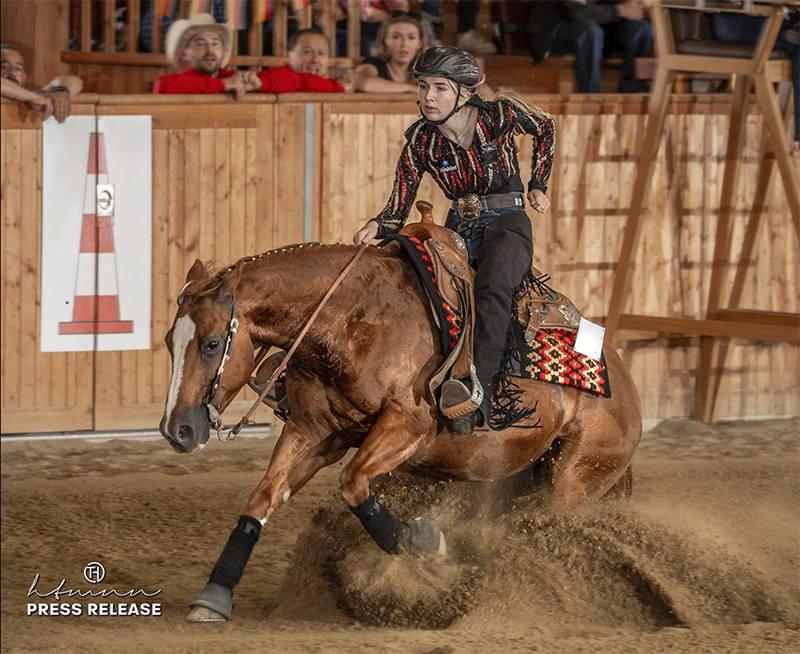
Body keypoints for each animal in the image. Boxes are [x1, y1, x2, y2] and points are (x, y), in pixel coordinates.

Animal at [159, 238, 640, 624]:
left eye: (211, 344)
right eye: (168, 341)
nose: (177, 430)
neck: (351, 319)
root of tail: (625, 389)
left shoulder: (409, 427)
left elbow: (354, 483)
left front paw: (426, 544)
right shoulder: (314, 431)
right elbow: (263, 497)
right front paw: (214, 596)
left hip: (573, 479)